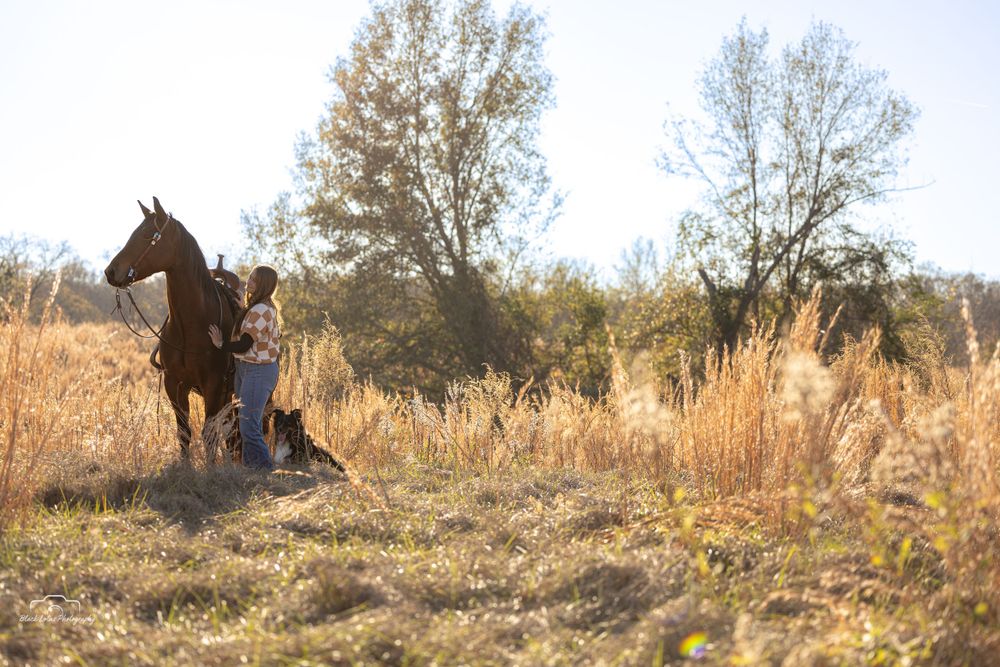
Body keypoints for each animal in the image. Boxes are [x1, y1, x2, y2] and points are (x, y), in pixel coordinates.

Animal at [105, 197, 243, 461]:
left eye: (148, 234)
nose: (110, 271)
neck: (191, 325)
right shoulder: (174, 383)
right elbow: (184, 432)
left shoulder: (213, 384)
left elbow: (209, 433)